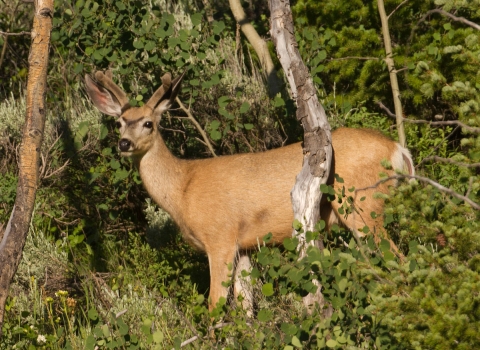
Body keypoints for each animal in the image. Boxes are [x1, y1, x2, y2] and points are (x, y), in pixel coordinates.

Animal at [84, 70, 414, 312]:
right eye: (120, 123)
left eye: (148, 124)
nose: (123, 143)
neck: (182, 190)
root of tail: (398, 150)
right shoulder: (243, 246)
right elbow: (245, 304)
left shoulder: (220, 238)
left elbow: (215, 304)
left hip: (363, 204)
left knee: (399, 260)